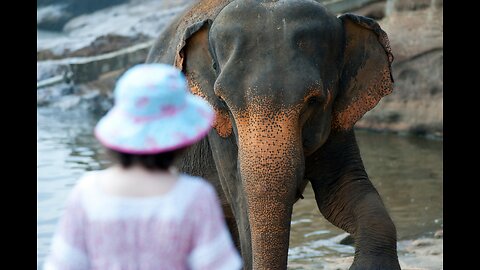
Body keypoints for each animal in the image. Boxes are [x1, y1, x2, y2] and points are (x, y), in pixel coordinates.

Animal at [147, 0, 402, 268]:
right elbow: (242, 206)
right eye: (223, 102)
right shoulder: (218, 132)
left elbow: (341, 189)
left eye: (313, 101)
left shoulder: (338, 119)